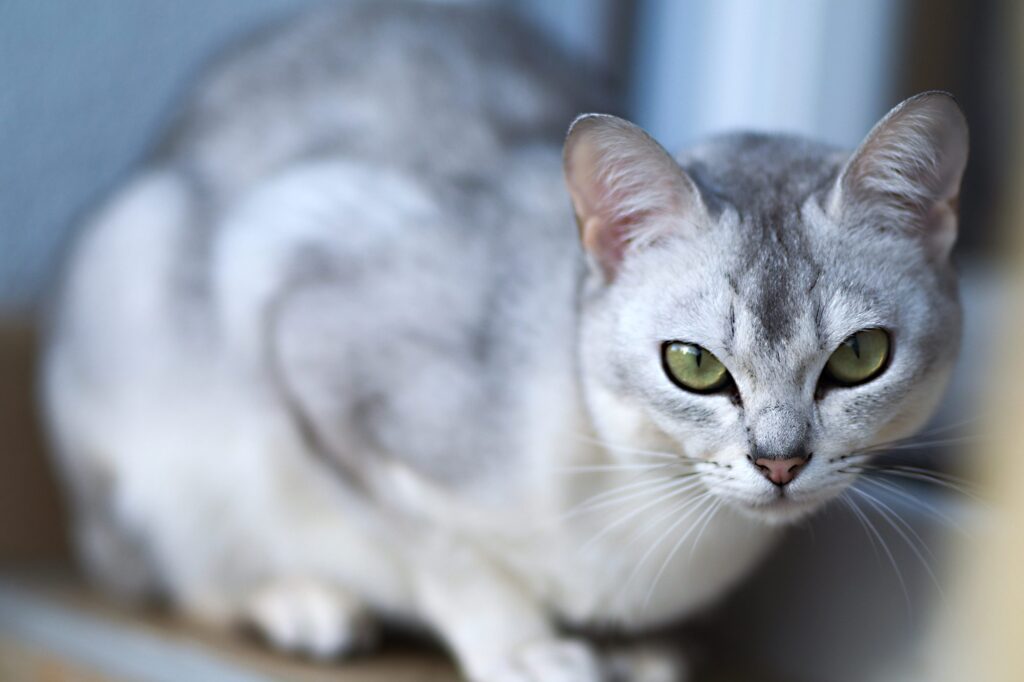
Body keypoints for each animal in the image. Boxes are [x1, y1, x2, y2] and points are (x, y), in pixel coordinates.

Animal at [39, 1, 966, 679]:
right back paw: (302, 602)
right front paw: (526, 647)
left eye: (859, 358)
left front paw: (635, 654)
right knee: (160, 573)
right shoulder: (301, 321)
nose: (780, 463)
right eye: (695, 366)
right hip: (139, 316)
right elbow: (440, 550)